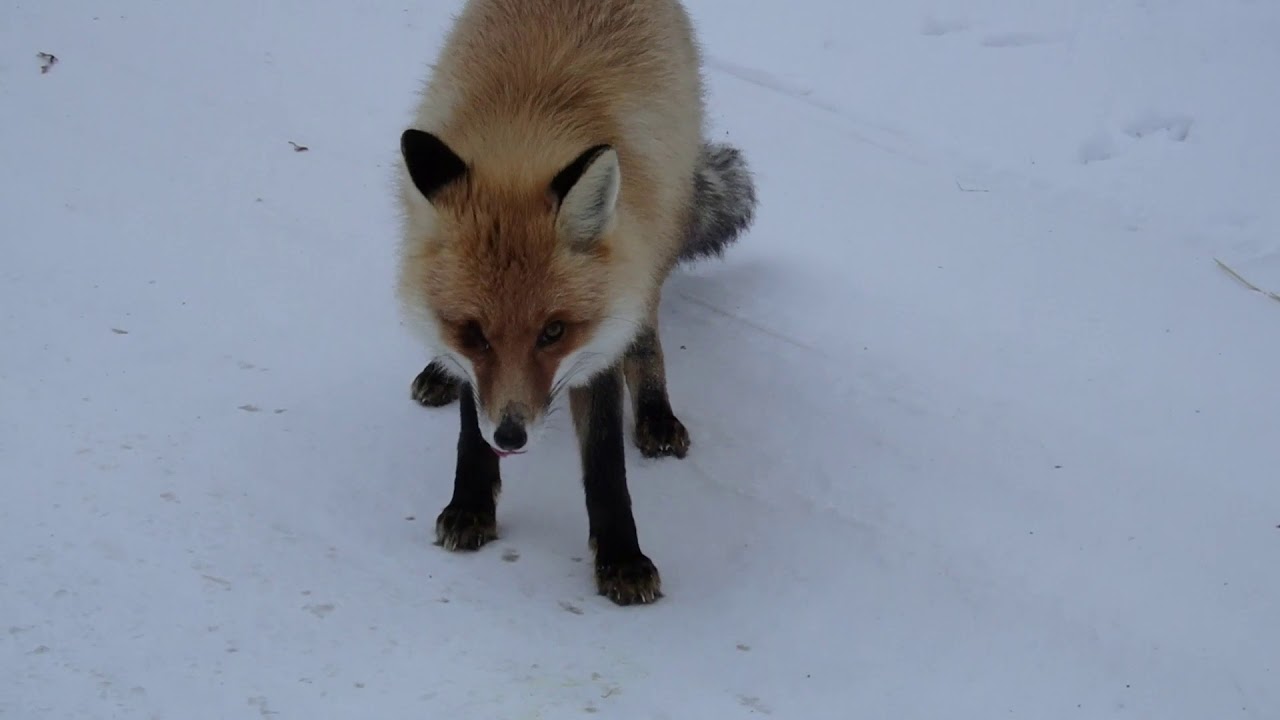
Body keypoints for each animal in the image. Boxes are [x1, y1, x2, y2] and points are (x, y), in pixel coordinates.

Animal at [394, 0, 757, 602]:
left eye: (553, 332)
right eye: (475, 333)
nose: (512, 436)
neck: (526, 127)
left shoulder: (599, 338)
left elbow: (606, 459)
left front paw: (621, 556)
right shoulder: (477, 370)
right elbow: (472, 423)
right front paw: (471, 504)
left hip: (651, 244)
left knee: (646, 336)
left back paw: (656, 414)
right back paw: (438, 374)